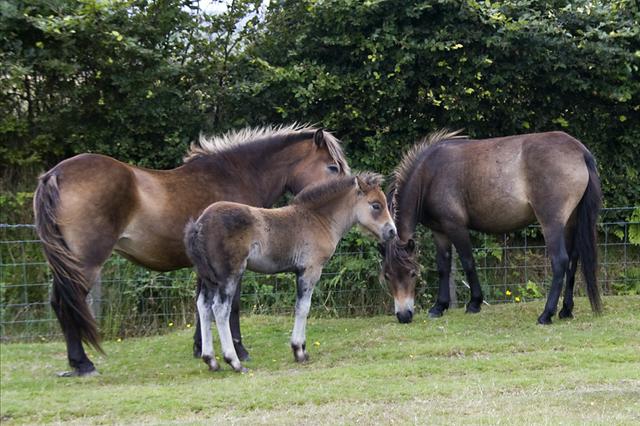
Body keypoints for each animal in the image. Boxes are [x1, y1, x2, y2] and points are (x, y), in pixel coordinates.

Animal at [32, 124, 350, 376]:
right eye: (332, 167)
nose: (347, 189)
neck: (238, 174)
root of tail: (55, 175)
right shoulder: (233, 265)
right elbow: (230, 306)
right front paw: (238, 351)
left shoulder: (206, 267)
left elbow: (202, 306)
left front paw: (201, 349)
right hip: (85, 264)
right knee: (66, 303)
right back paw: (83, 364)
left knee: (59, 303)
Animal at [184, 171, 396, 372]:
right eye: (376, 205)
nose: (392, 232)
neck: (319, 219)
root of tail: (199, 225)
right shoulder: (311, 270)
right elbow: (303, 308)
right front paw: (299, 351)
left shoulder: (299, 271)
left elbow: (300, 306)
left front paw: (302, 349)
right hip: (229, 276)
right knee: (220, 310)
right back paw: (234, 362)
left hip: (208, 278)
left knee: (203, 306)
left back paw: (211, 360)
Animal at [382, 128, 604, 324]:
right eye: (387, 275)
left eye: (412, 274)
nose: (404, 316)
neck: (429, 174)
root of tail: (580, 151)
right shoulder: (439, 231)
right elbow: (443, 266)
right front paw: (439, 306)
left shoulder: (455, 227)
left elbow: (468, 262)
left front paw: (474, 303)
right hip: (571, 222)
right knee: (573, 261)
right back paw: (566, 310)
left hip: (551, 223)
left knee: (560, 261)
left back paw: (546, 315)